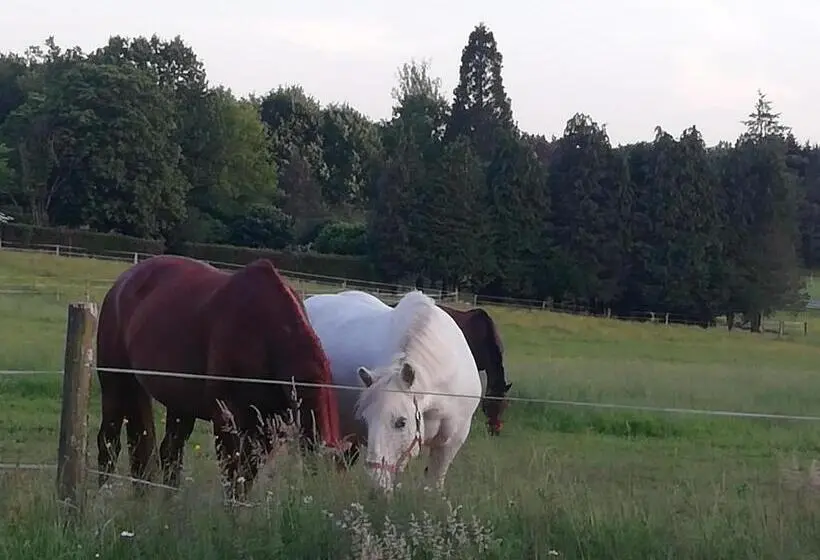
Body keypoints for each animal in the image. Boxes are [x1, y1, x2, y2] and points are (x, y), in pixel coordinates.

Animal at [95, 254, 343, 500]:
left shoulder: (266, 427)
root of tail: (123, 282)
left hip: (180, 404)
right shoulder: (226, 419)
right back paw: (102, 495)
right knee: (109, 441)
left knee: (166, 451)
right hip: (114, 385)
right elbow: (234, 477)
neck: (266, 332)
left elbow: (246, 476)